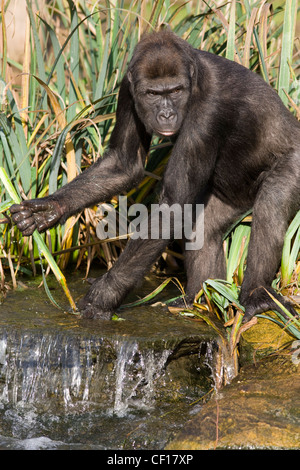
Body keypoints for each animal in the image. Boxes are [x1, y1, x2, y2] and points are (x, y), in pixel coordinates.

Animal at [9, 31, 300, 322]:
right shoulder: (127, 91)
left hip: (294, 164)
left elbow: (171, 207)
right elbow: (124, 164)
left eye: (175, 91)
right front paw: (48, 209)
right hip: (233, 198)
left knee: (271, 206)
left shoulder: (207, 112)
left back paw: (256, 295)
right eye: (152, 94)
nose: (167, 113)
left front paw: (106, 292)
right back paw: (197, 299)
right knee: (204, 226)